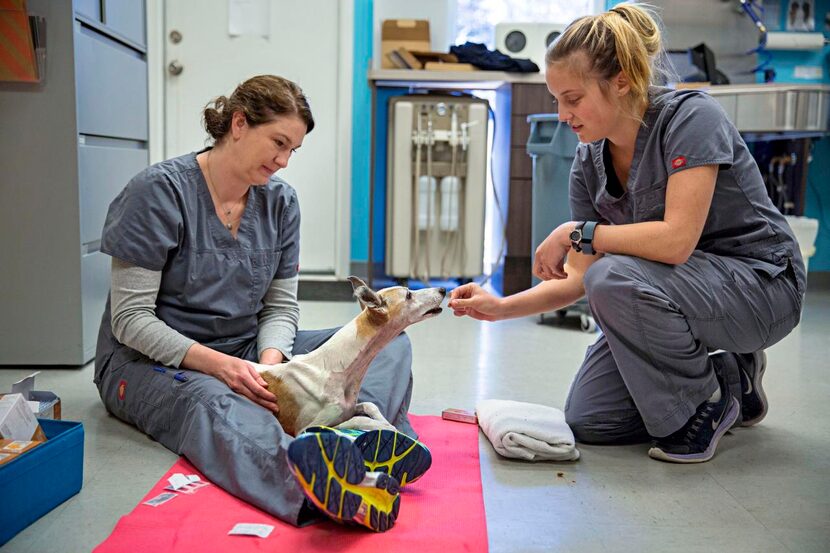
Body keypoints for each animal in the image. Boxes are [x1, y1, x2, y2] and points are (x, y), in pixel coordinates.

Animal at [252, 276, 448, 436]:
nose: (443, 290)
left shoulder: (351, 406)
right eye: (408, 295)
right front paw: (386, 426)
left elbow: (370, 405)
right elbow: (358, 419)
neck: (336, 368)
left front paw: (386, 422)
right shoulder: (307, 427)